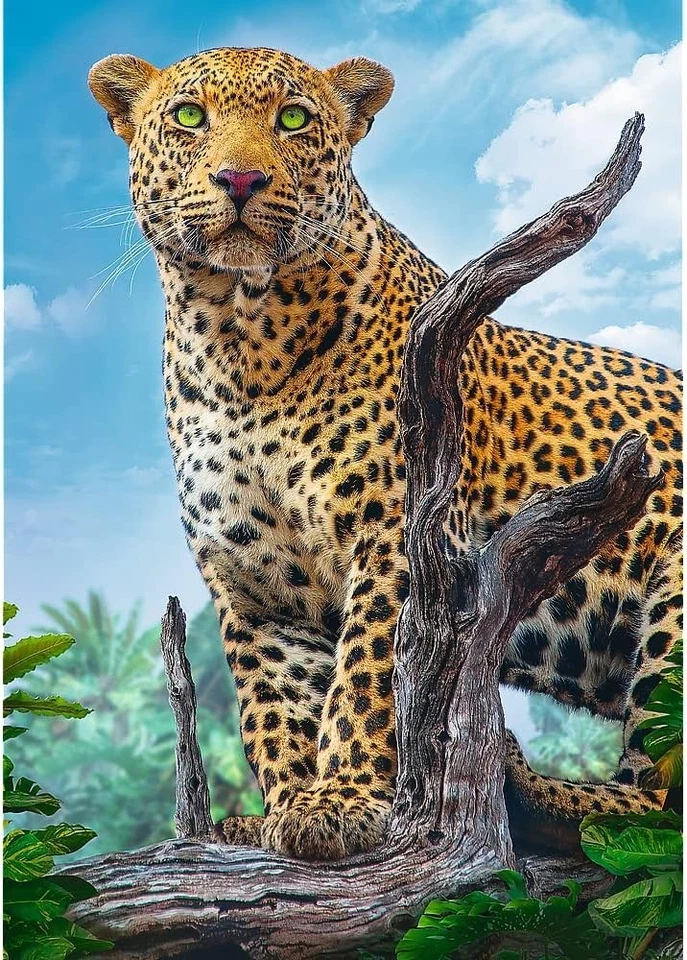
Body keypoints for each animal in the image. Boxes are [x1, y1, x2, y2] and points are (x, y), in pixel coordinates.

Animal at [89, 46, 683, 861]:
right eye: (188, 117)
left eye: (292, 118)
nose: (239, 180)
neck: (238, 337)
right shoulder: (253, 586)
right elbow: (274, 707)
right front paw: (283, 809)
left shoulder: (400, 537)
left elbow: (371, 677)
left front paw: (342, 799)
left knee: (656, 799)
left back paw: (529, 788)